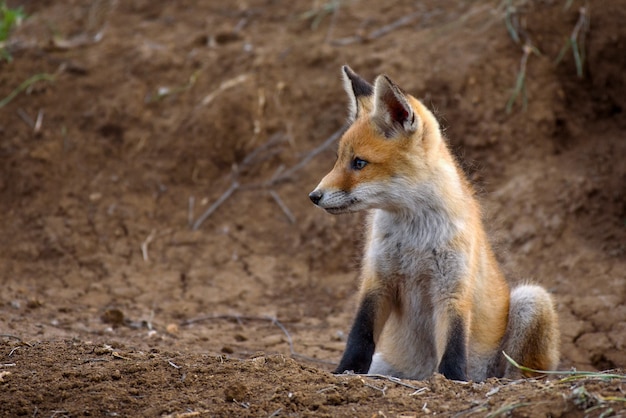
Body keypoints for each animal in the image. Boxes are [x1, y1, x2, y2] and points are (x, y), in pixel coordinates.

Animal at [310, 66, 560, 382]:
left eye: (359, 163)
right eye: (339, 159)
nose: (314, 196)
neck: (415, 237)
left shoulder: (453, 288)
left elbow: (453, 345)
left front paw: (450, 381)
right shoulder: (377, 280)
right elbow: (359, 336)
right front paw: (345, 372)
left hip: (532, 300)